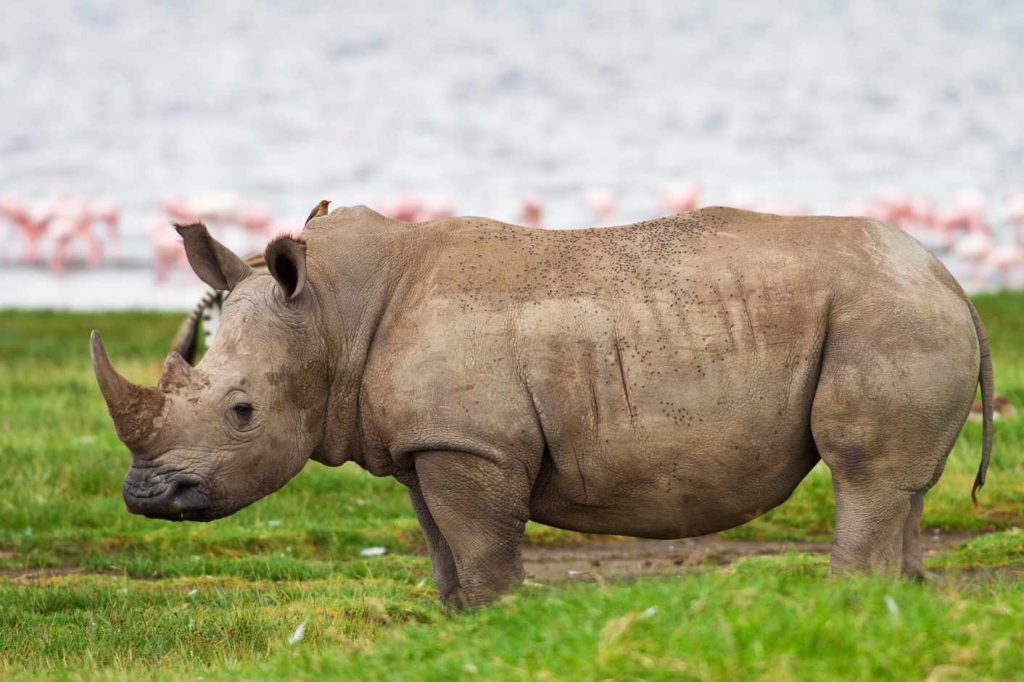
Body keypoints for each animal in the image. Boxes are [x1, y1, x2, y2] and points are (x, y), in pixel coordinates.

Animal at [91, 205, 994, 608]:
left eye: (241, 411)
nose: (146, 497)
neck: (333, 311)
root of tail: (950, 280)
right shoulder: (427, 444)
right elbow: (439, 543)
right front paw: (455, 621)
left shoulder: (472, 443)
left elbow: (481, 543)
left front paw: (497, 618)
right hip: (899, 314)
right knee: (902, 485)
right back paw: (901, 604)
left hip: (887, 316)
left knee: (864, 475)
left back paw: (847, 601)